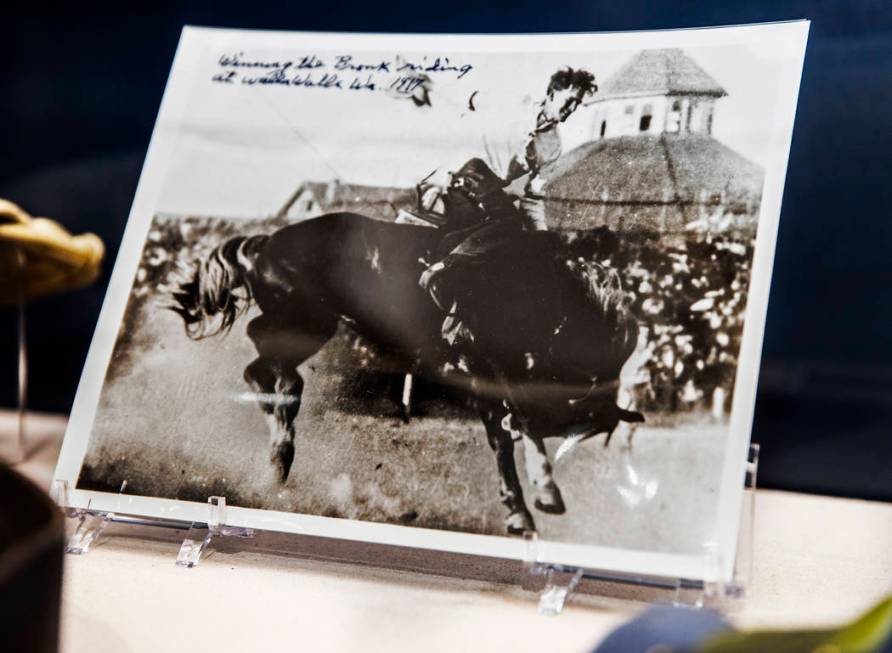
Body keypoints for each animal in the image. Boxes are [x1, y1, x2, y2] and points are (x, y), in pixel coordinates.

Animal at [169, 214, 640, 536]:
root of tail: (264, 243)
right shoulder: (483, 369)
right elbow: (515, 428)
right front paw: (541, 494)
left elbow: (506, 434)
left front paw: (522, 508)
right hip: (303, 321)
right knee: (265, 361)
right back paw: (281, 439)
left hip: (309, 326)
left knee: (265, 368)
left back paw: (279, 450)